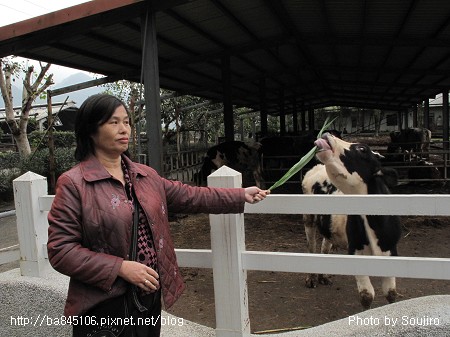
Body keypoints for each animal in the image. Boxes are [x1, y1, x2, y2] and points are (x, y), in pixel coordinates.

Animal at [302, 133, 400, 308]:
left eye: (362, 148)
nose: (326, 134)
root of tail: (317, 168)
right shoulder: (355, 251)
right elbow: (367, 295)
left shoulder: (391, 250)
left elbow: (391, 294)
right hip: (309, 219)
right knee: (311, 247)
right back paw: (311, 278)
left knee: (325, 246)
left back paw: (323, 277)